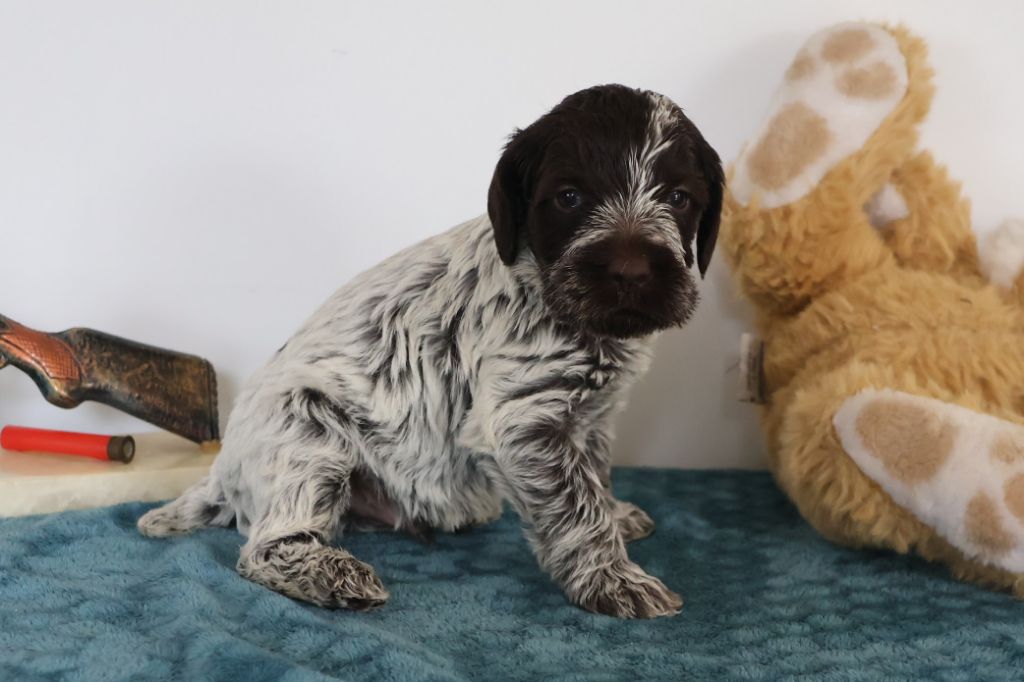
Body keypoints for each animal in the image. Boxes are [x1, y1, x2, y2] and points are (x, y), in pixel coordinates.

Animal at [140, 83, 724, 614]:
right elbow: (578, 510)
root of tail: (222, 472)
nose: (631, 272)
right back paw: (329, 573)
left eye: (678, 198)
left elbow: (595, 477)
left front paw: (617, 516)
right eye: (569, 197)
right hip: (308, 433)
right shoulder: (523, 422)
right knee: (263, 547)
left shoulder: (592, 415)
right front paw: (613, 579)